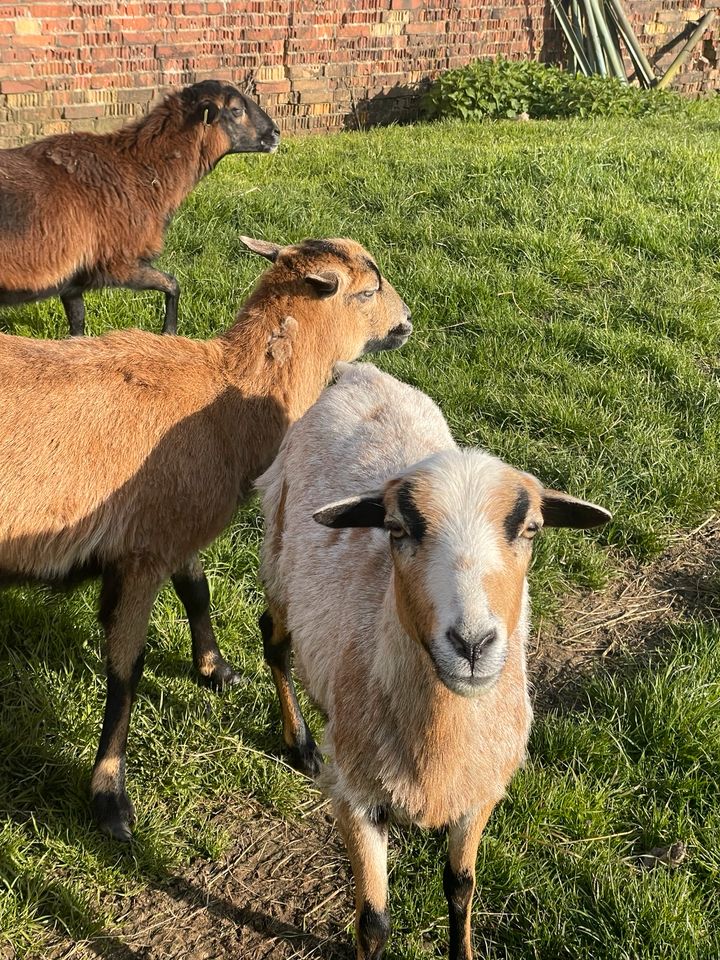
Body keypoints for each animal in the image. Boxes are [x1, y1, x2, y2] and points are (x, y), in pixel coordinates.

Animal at [0, 81, 280, 338]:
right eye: (236, 110)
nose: (276, 133)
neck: (140, 169)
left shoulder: (73, 282)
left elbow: (77, 327)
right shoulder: (120, 263)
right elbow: (173, 284)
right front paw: (169, 333)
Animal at [256, 364, 612, 960]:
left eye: (531, 529)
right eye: (398, 528)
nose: (472, 644)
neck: (443, 738)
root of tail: (359, 372)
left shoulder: (480, 790)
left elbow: (461, 888)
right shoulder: (355, 797)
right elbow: (373, 922)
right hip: (279, 555)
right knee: (272, 639)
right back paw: (300, 742)